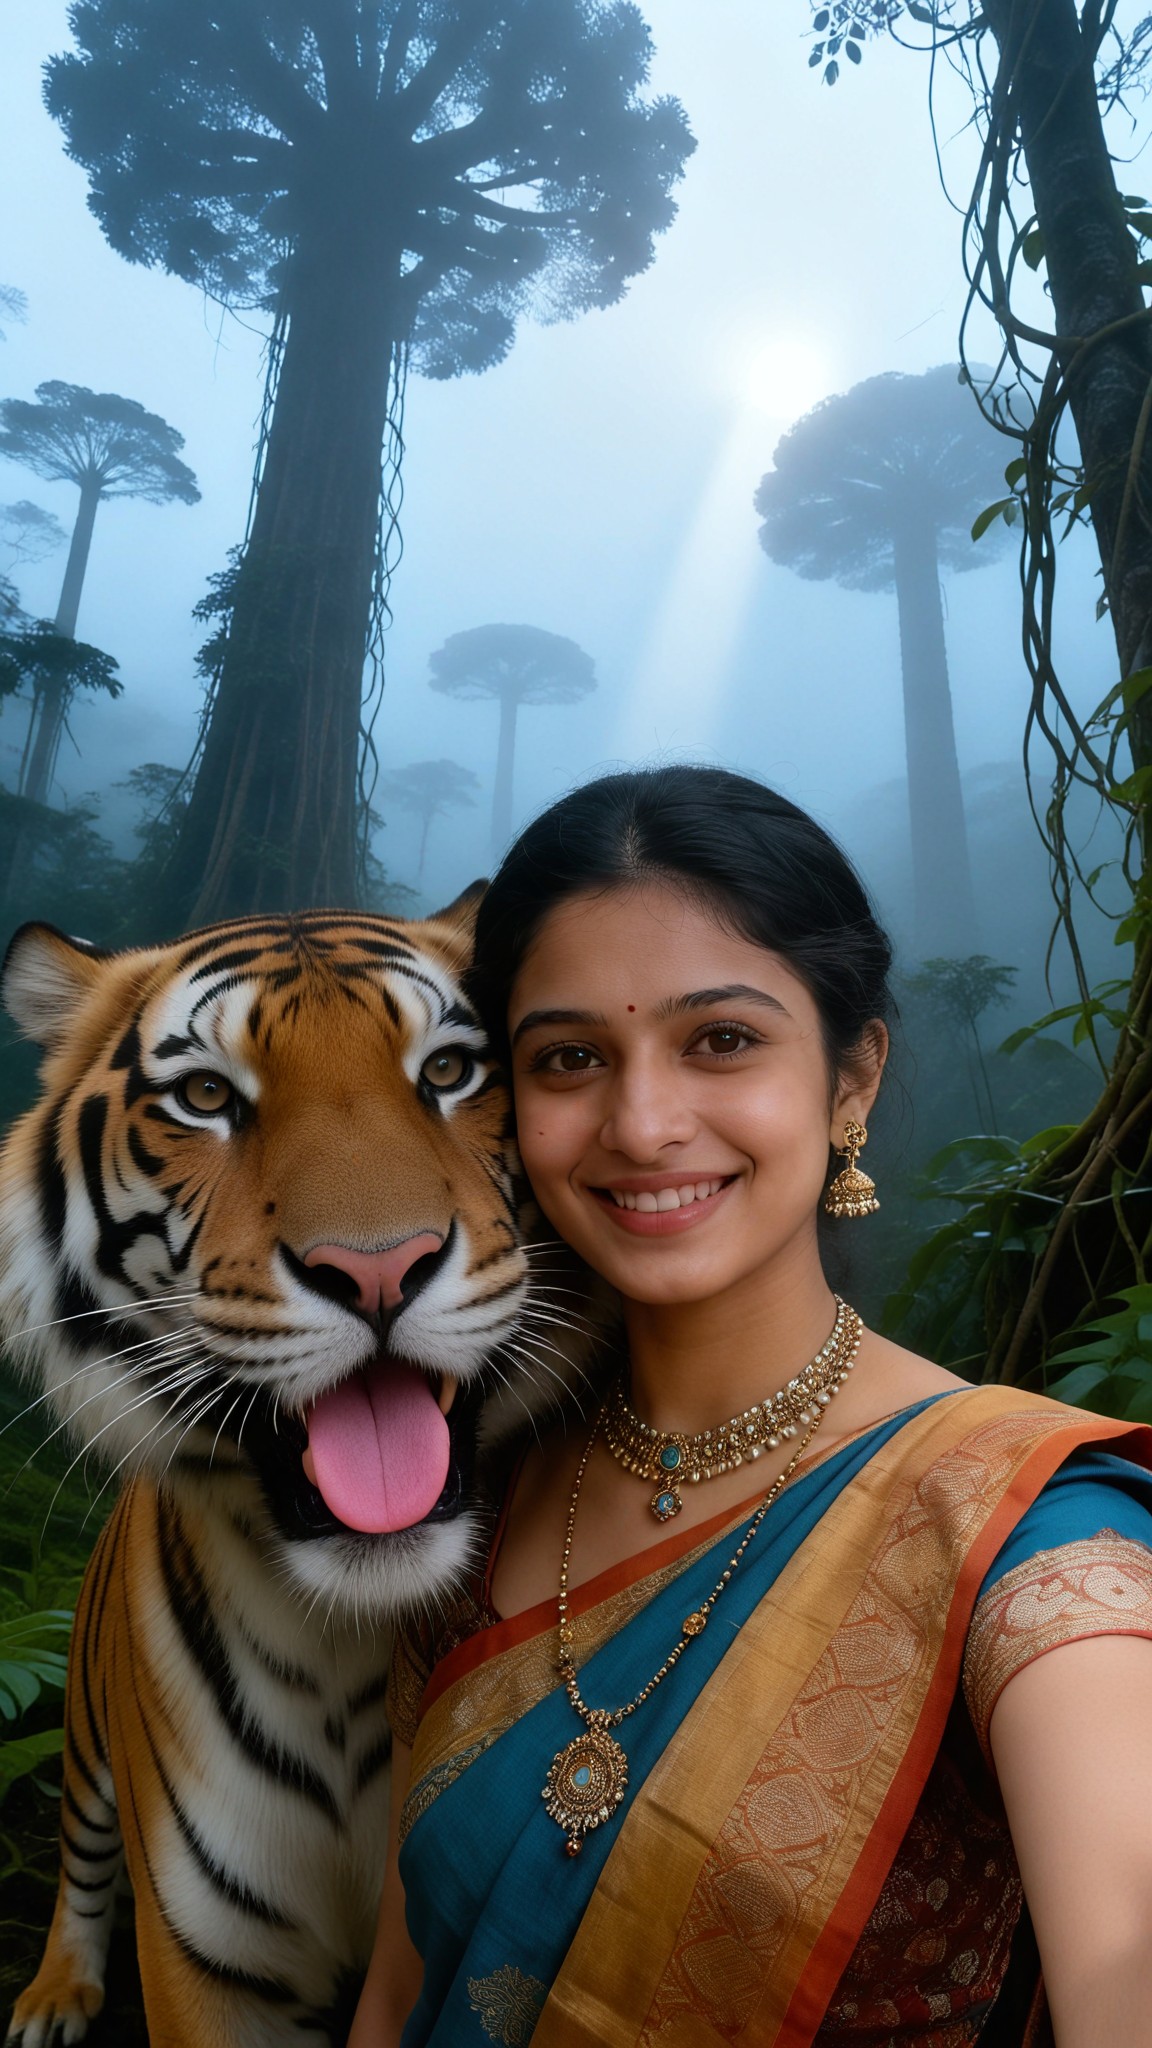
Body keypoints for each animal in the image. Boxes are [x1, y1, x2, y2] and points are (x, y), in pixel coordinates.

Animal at [0, 895, 584, 2048]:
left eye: (451, 1069)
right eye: (206, 1096)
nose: (378, 1267)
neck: (350, 1640)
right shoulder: (208, 1965)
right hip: (86, 1732)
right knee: (81, 1862)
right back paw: (53, 1996)